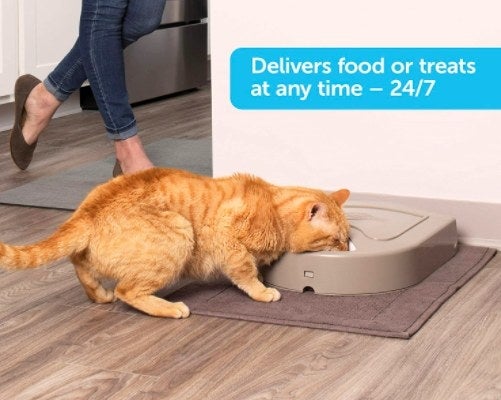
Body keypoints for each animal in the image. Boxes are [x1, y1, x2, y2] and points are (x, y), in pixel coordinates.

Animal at [0, 169, 348, 318]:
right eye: (336, 239)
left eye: (347, 240)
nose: (346, 251)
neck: (273, 207)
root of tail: (87, 211)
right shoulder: (229, 241)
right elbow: (246, 273)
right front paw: (263, 291)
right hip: (180, 233)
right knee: (128, 291)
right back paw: (172, 308)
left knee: (80, 264)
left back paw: (99, 294)